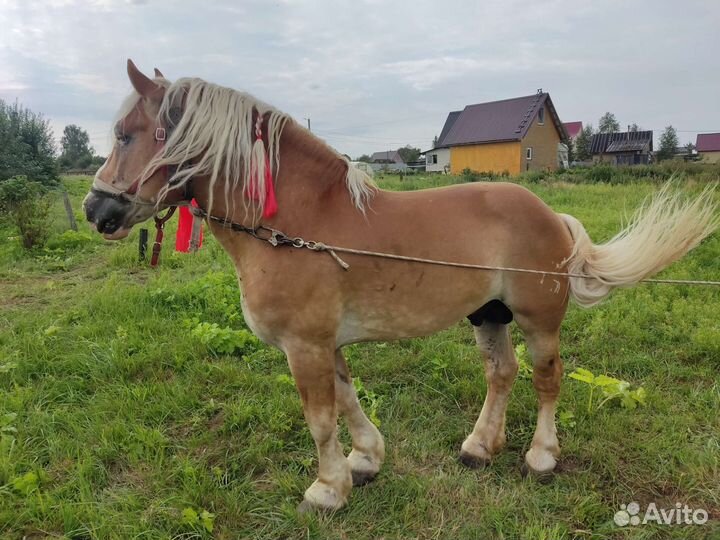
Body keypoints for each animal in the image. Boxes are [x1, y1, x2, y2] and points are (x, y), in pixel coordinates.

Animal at [83, 60, 717, 512]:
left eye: (126, 134)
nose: (96, 209)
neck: (300, 226)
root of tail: (549, 214)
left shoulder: (305, 346)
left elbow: (320, 417)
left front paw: (327, 489)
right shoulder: (324, 345)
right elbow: (346, 400)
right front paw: (365, 461)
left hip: (539, 320)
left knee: (546, 380)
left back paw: (540, 456)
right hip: (488, 314)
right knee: (501, 374)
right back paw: (479, 447)